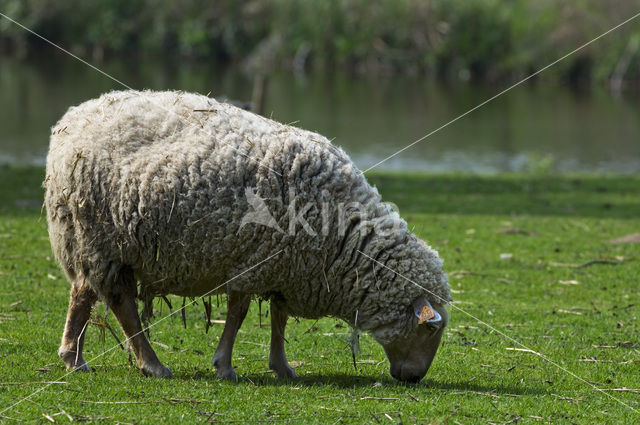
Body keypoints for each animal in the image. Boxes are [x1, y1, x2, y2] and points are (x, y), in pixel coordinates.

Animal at [45, 89, 450, 380]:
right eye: (431, 331)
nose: (414, 378)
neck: (343, 235)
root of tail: (71, 120)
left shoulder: (286, 266)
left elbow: (278, 317)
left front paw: (281, 367)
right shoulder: (253, 261)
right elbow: (239, 314)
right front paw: (225, 366)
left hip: (91, 244)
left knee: (83, 294)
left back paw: (73, 357)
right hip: (102, 241)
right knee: (122, 306)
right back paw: (151, 364)